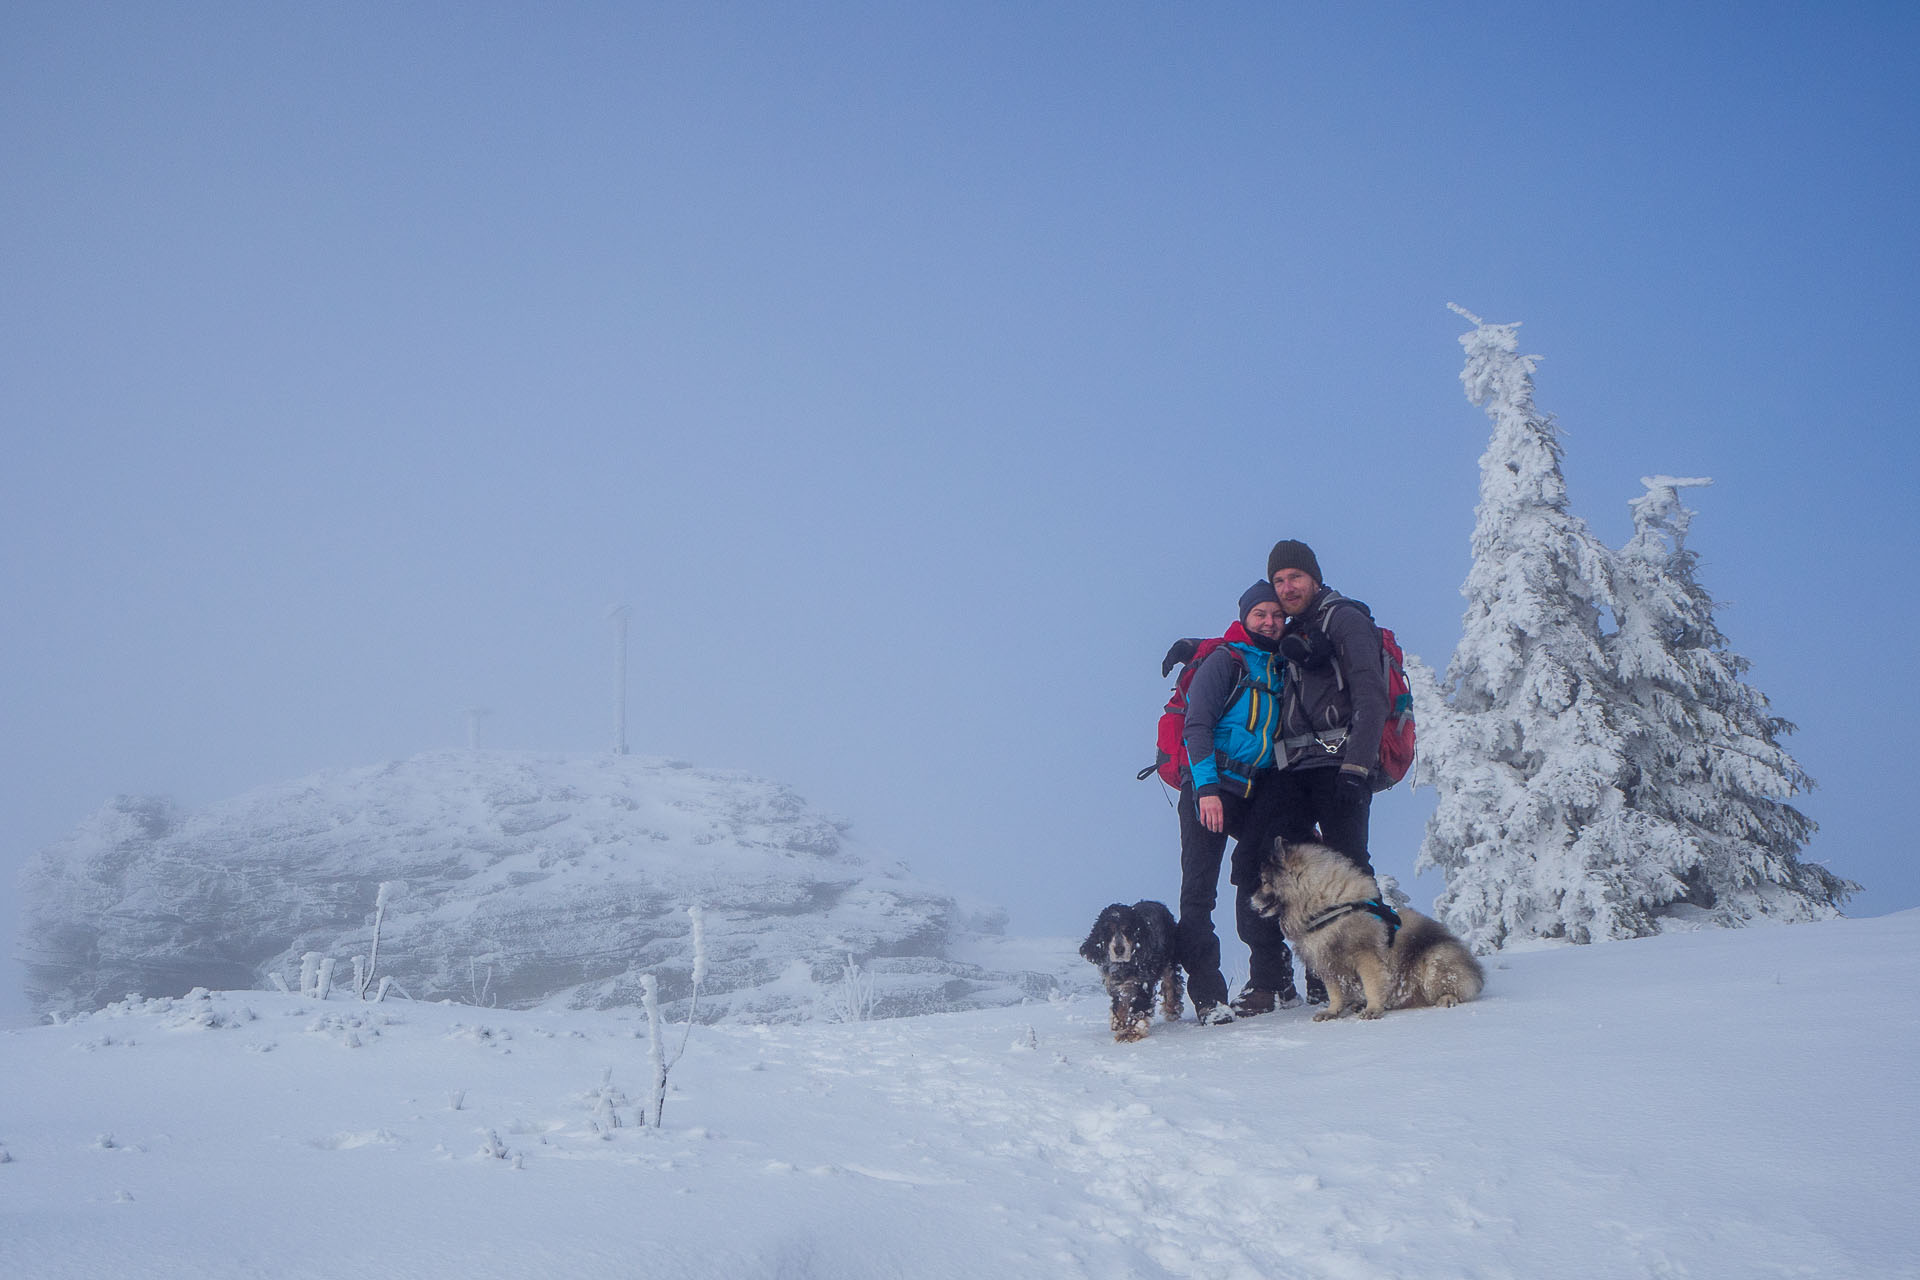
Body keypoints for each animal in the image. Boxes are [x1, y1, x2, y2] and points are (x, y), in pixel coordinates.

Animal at [1082, 901, 1182, 1043]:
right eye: (1108, 930)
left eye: (1128, 929)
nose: (1119, 949)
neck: (1123, 965)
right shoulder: (1115, 985)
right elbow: (1120, 1006)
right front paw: (1119, 1024)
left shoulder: (1141, 983)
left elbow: (1136, 1009)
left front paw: (1129, 1033)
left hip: (1169, 961)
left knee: (1171, 984)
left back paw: (1172, 1011)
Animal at [1244, 840, 1482, 1020]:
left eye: (1264, 882)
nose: (1250, 901)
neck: (1326, 906)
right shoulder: (1327, 961)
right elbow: (1334, 992)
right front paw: (1332, 1011)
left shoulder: (1364, 955)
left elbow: (1372, 983)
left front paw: (1373, 1009)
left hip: (1435, 958)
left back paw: (1447, 998)